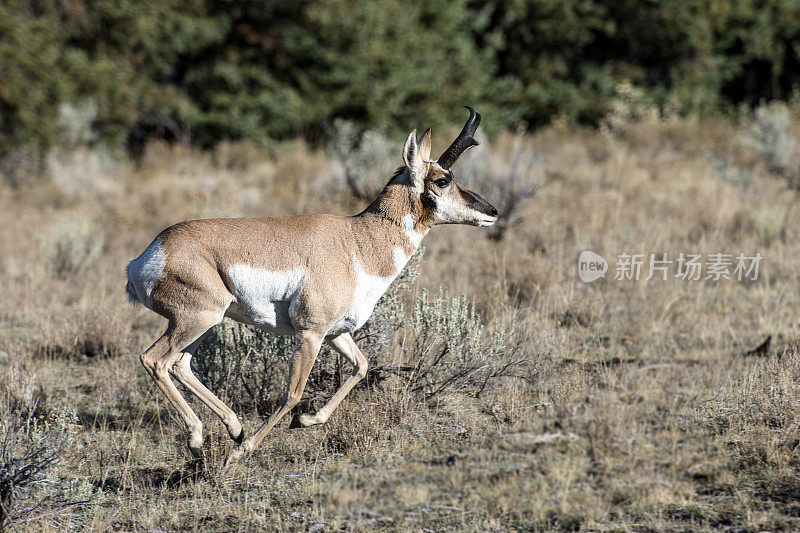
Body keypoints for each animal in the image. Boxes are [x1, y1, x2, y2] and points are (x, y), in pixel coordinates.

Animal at [126, 107, 496, 462]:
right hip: (196, 320)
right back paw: (200, 439)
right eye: (443, 180)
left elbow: (361, 366)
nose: (492, 211)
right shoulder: (310, 334)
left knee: (181, 365)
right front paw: (244, 452)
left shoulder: (335, 333)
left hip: (204, 324)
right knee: (155, 360)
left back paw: (233, 429)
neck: (356, 242)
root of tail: (150, 253)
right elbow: (293, 392)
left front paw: (305, 421)